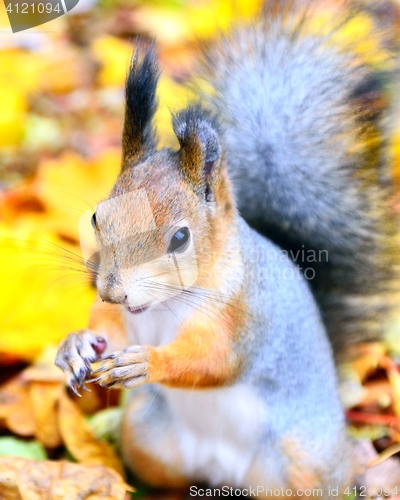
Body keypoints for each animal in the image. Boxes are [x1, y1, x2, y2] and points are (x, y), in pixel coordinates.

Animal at [55, 0, 400, 496]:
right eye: (99, 217)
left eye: (180, 238)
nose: (113, 291)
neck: (164, 306)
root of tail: (226, 474)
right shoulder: (126, 318)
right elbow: (108, 327)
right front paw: (77, 345)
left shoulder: (243, 317)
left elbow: (214, 360)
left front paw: (149, 361)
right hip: (148, 437)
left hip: (305, 460)